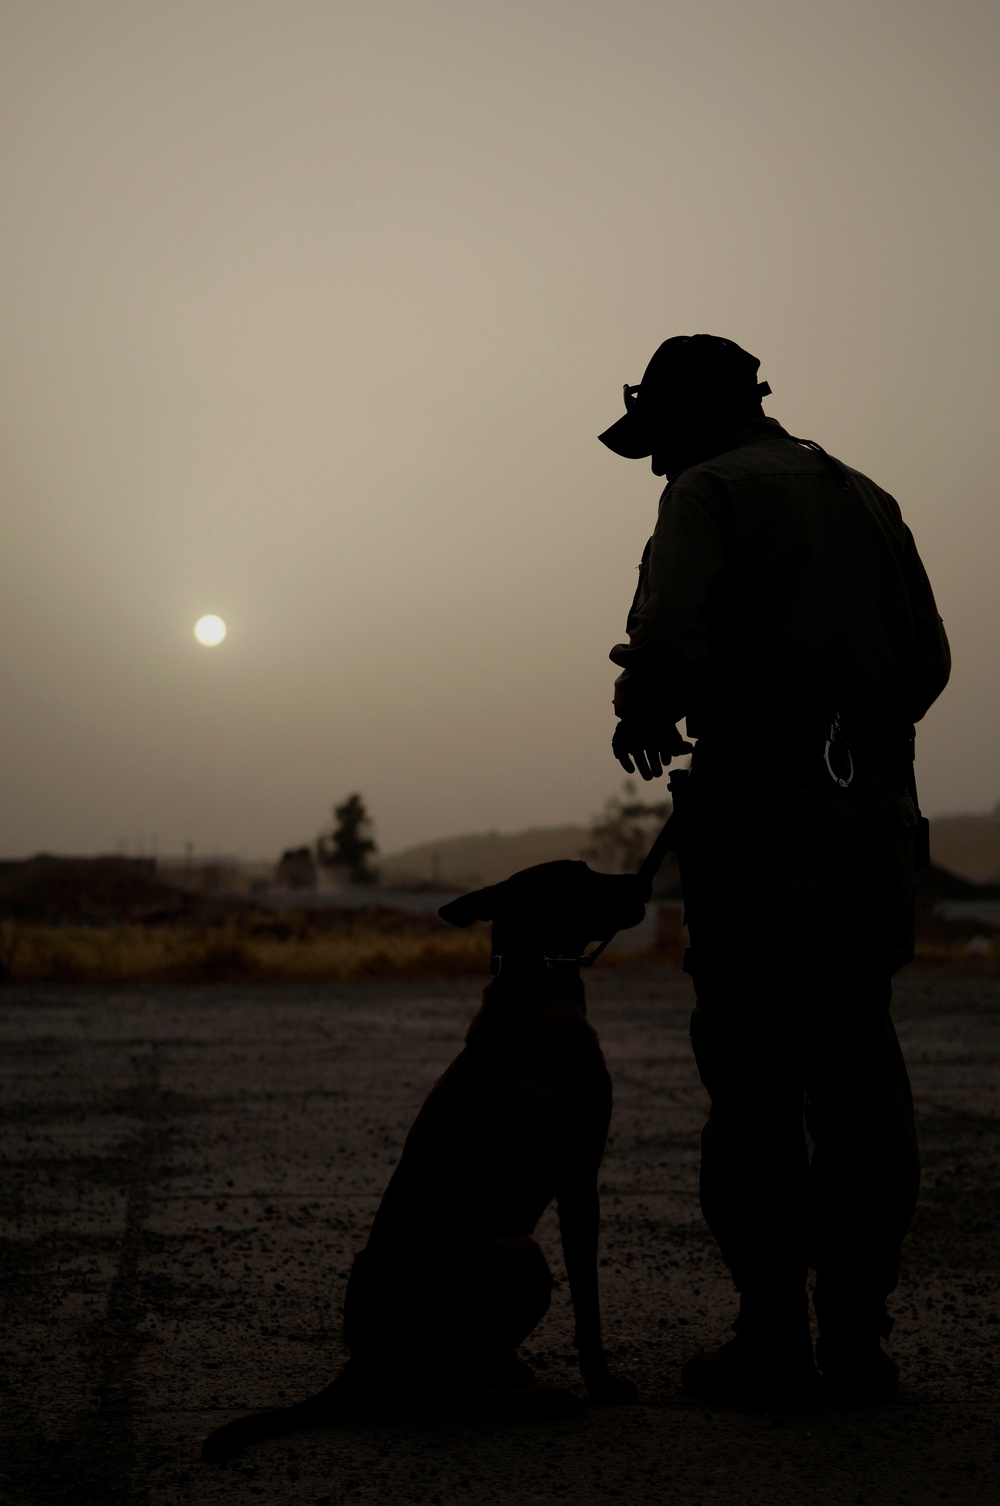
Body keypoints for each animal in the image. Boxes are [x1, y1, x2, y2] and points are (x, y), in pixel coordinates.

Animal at [203, 861, 647, 1457]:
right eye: (578, 874)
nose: (644, 881)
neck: (533, 981)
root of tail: (364, 1362)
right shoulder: (580, 1183)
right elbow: (589, 1306)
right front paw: (603, 1384)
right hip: (519, 1253)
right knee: (448, 1394)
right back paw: (538, 1401)